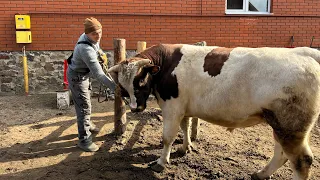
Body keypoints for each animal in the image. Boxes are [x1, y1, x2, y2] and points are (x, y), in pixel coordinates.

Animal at [109, 44, 320, 180]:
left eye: (141, 81)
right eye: (123, 86)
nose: (135, 108)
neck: (166, 65)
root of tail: (306, 53)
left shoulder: (172, 107)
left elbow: (167, 137)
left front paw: (161, 162)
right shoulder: (184, 108)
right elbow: (185, 127)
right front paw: (186, 147)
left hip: (290, 126)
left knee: (302, 160)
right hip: (281, 124)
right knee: (281, 153)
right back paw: (261, 174)